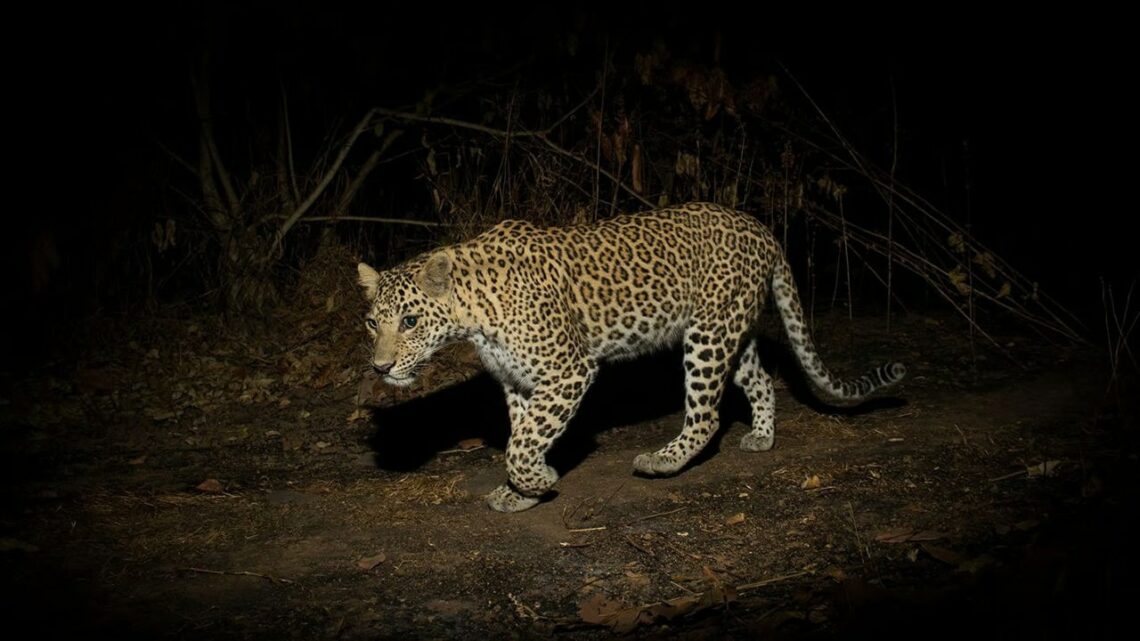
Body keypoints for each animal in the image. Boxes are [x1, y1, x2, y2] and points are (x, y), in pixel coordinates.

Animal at [357, 199, 907, 508]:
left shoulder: (568, 371)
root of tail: (761, 228)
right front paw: (522, 493)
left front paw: (539, 480)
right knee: (760, 379)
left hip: (706, 336)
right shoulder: (519, 382)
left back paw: (663, 460)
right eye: (371, 322)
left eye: (410, 322)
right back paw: (762, 438)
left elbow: (522, 444)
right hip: (732, 326)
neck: (474, 312)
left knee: (706, 414)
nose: (381, 366)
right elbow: (521, 436)